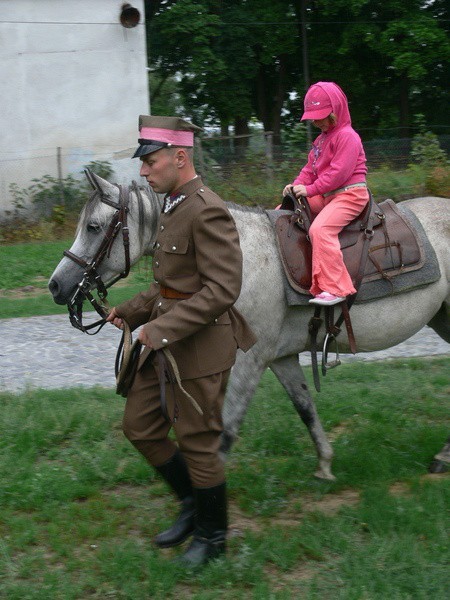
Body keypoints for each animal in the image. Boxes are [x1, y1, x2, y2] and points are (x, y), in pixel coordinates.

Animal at [49, 172, 450, 478]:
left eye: (93, 226)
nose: (56, 285)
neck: (240, 258)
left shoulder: (250, 359)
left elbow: (226, 431)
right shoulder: (279, 357)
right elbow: (305, 407)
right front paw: (324, 464)